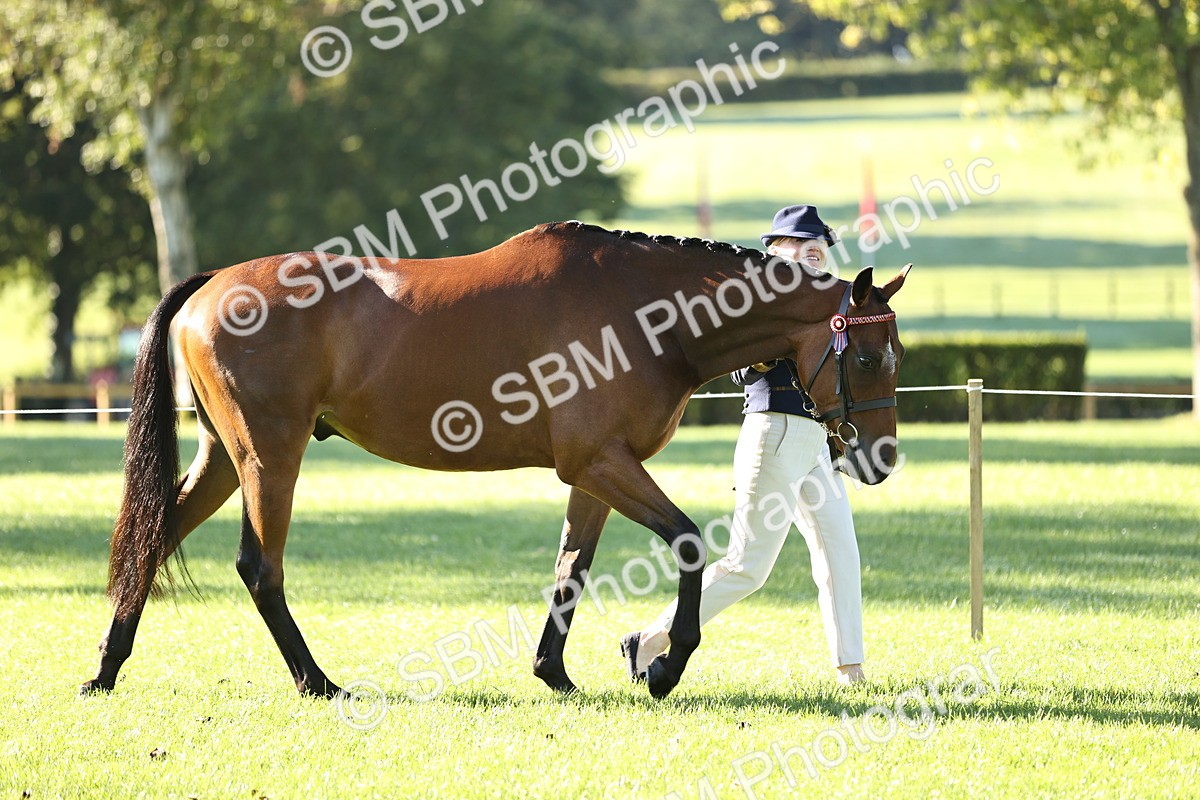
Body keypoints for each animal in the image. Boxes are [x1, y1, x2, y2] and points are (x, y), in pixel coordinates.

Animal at [81, 221, 910, 700]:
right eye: (869, 356)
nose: (882, 460)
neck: (645, 313)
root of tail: (212, 283)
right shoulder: (601, 464)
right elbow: (686, 542)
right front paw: (665, 667)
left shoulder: (594, 472)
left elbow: (571, 568)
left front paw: (556, 672)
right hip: (268, 456)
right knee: (260, 567)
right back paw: (318, 682)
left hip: (225, 458)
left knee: (156, 536)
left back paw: (106, 669)